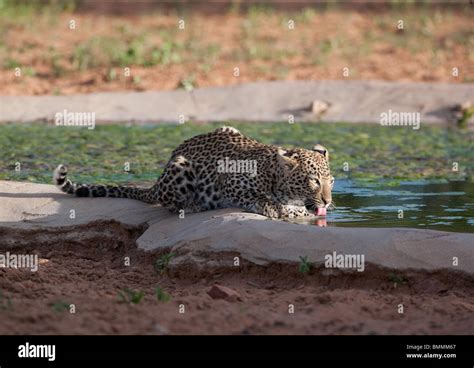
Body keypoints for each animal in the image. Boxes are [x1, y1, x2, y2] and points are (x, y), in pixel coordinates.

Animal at [52, 126, 334, 218]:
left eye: (331, 181)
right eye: (313, 181)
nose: (329, 201)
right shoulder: (231, 183)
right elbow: (260, 199)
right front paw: (276, 208)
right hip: (181, 166)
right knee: (168, 204)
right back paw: (194, 206)